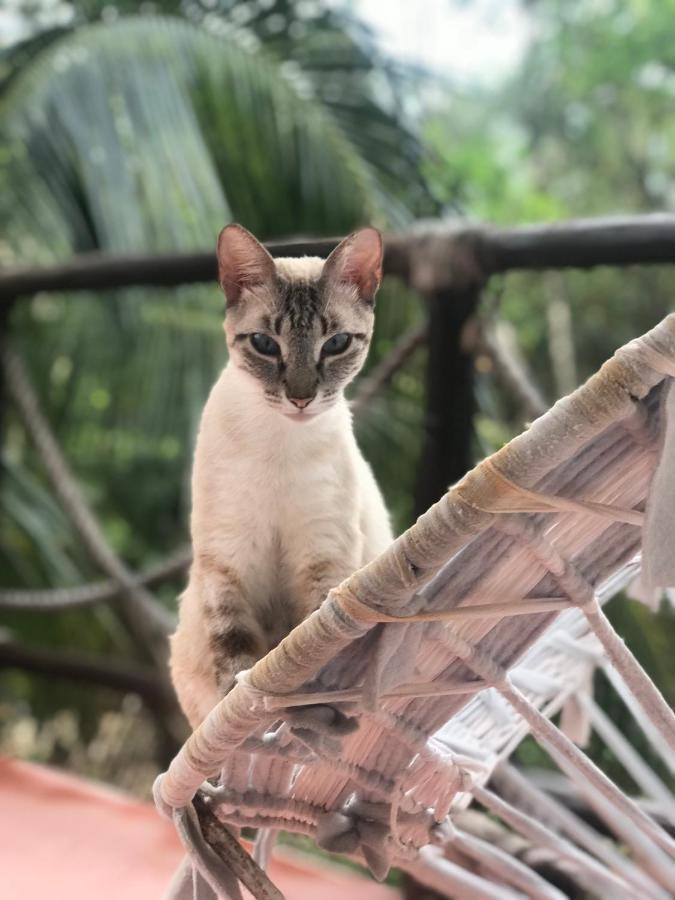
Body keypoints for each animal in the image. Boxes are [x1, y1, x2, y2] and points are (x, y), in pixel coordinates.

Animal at [169, 225, 394, 732]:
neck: (280, 446)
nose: (301, 398)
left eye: (336, 343)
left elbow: (310, 645)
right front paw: (243, 715)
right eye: (265, 345)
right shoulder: (226, 560)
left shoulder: (323, 557)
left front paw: (301, 709)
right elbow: (235, 655)